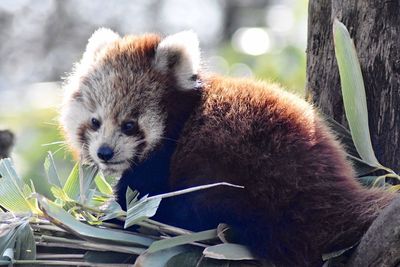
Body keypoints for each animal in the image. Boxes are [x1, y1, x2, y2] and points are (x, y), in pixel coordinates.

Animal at [59, 28, 394, 266]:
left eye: (129, 125)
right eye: (95, 122)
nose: (104, 153)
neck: (180, 115)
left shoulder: (163, 161)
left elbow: (140, 201)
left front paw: (109, 218)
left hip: (240, 180)